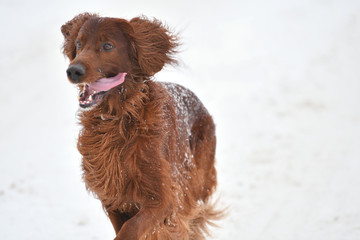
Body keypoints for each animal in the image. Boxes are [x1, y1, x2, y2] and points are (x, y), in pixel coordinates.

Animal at [61, 13, 219, 240]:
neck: (117, 120)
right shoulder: (113, 196)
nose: (73, 70)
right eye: (79, 44)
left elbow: (132, 228)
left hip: (196, 183)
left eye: (107, 46)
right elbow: (123, 225)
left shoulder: (165, 197)